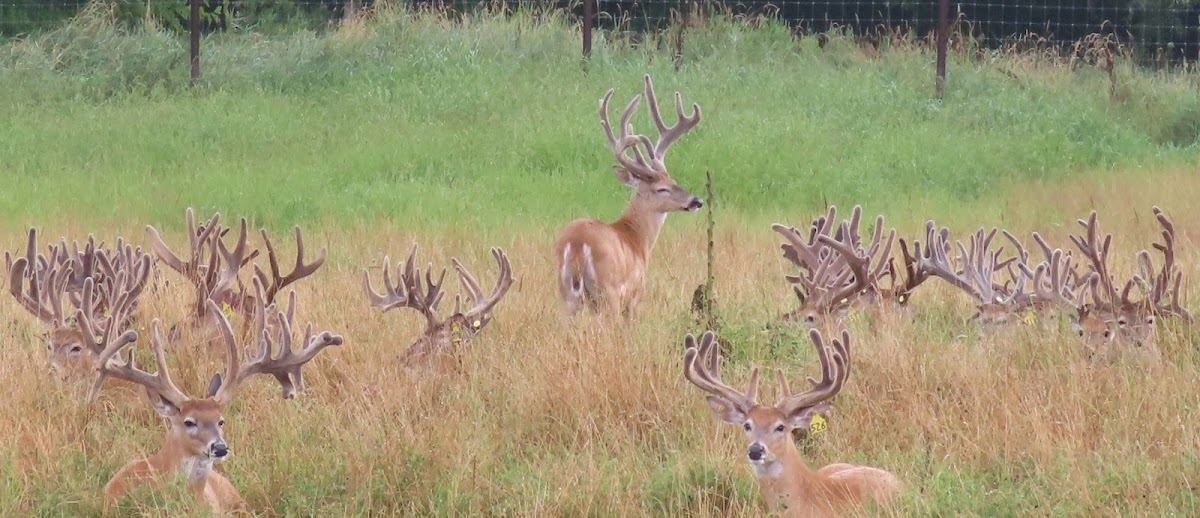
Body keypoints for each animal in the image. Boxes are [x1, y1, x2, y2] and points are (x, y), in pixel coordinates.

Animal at [554, 74, 703, 317]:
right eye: (662, 188)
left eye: (673, 180)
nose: (696, 201)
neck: (637, 238)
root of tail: (576, 244)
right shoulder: (634, 295)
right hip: (608, 292)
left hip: (566, 294)